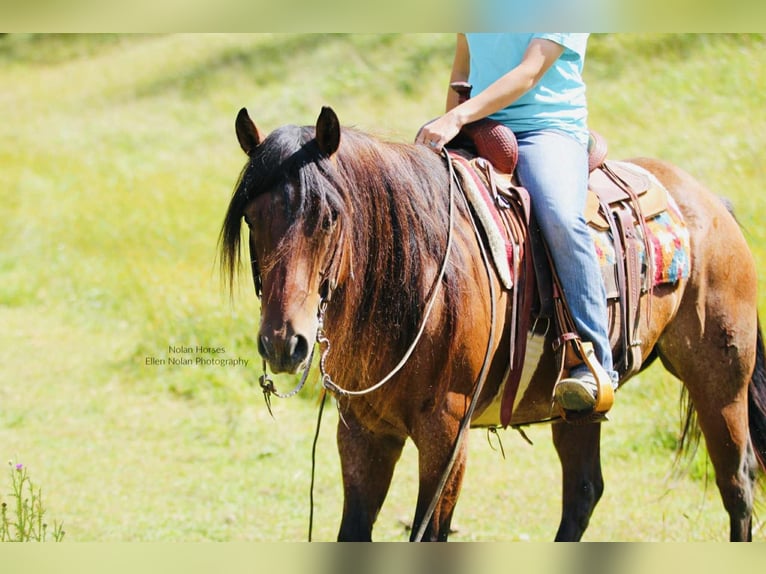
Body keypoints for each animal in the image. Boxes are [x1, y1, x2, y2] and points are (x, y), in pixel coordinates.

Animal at [219, 106, 766, 541]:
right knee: (584, 492)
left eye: (330, 217)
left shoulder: (447, 433)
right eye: (251, 218)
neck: (419, 281)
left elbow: (429, 534)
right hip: (579, 407)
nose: (283, 343)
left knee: (737, 484)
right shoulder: (362, 431)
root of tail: (710, 202)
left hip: (720, 381)